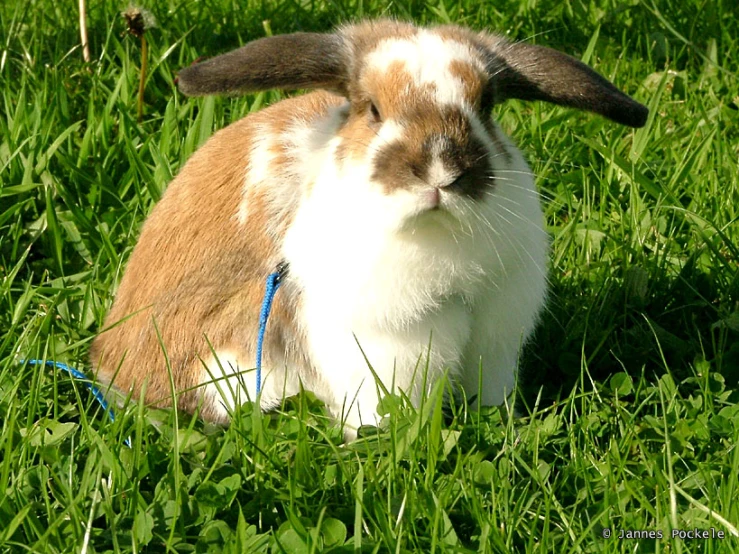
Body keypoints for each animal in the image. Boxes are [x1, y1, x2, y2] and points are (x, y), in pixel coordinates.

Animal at [91, 19, 648, 438]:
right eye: (374, 110)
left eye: (486, 104)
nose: (441, 172)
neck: (437, 237)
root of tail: (109, 365)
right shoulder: (384, 346)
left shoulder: (495, 341)